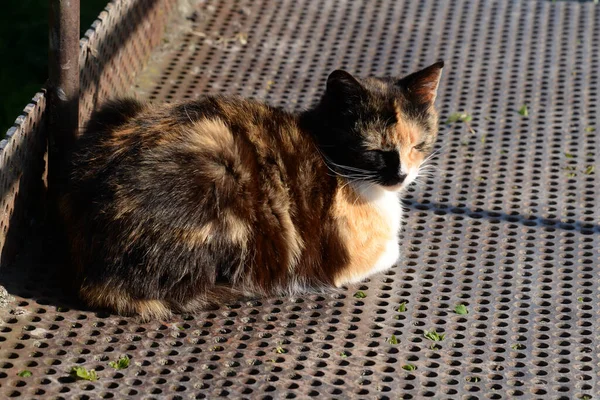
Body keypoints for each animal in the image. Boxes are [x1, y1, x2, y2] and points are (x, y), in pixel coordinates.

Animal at [58, 61, 442, 320]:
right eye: (375, 150)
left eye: (417, 146)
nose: (401, 176)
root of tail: (93, 274)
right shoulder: (349, 256)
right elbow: (391, 250)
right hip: (221, 172)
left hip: (115, 110)